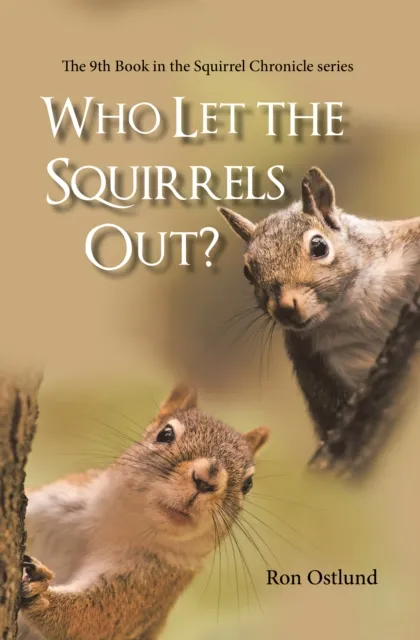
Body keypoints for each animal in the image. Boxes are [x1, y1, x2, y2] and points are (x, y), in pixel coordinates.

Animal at [19, 383, 270, 640]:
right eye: (165, 434)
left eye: (248, 484)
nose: (206, 480)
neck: (123, 524)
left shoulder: (151, 584)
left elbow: (94, 620)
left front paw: (40, 594)